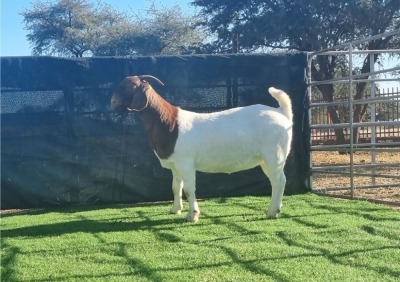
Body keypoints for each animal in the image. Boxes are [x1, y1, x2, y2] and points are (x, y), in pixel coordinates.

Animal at [111, 75, 292, 223]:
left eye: (131, 86)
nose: (112, 103)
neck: (169, 123)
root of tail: (282, 113)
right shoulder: (175, 166)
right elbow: (176, 186)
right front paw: (175, 209)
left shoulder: (186, 163)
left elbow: (189, 189)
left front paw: (192, 215)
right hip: (266, 159)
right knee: (277, 181)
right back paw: (276, 209)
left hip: (275, 155)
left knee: (279, 180)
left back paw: (272, 212)